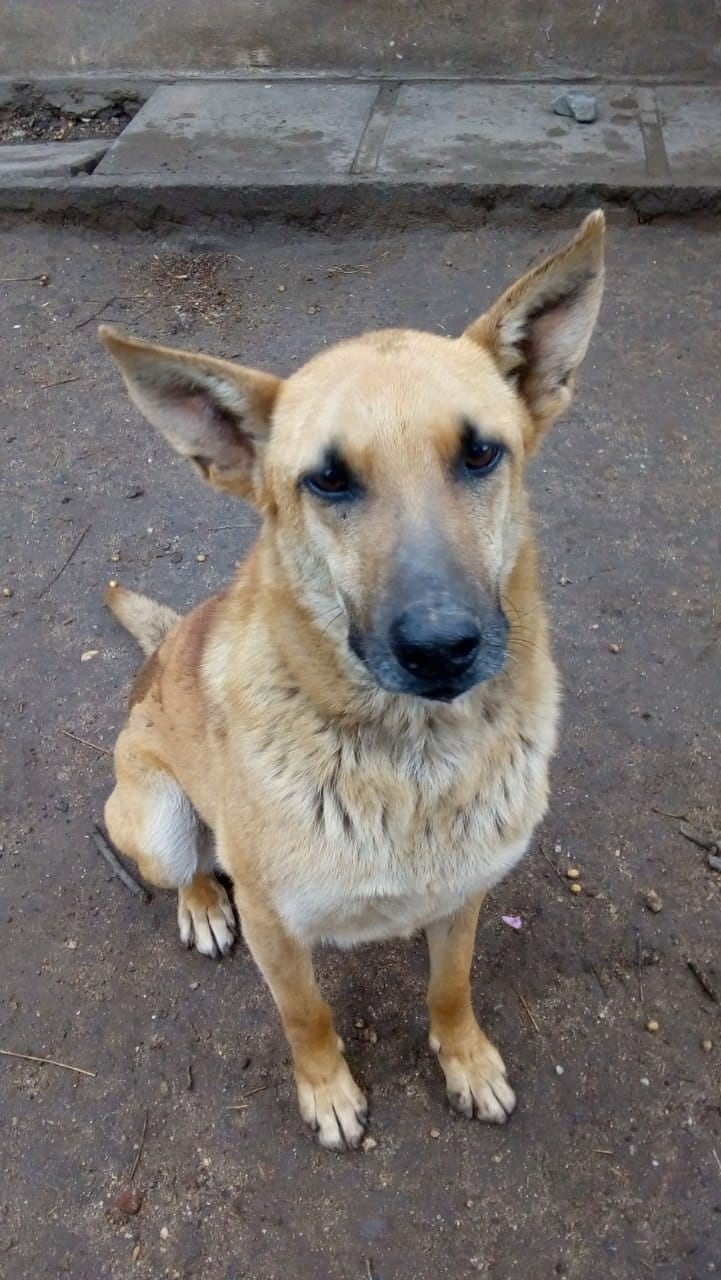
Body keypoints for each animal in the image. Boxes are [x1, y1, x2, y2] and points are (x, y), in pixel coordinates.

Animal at [96, 209, 604, 1152]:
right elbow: (308, 1017)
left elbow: (450, 987)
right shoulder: (276, 930)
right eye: (328, 479)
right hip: (156, 819)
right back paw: (200, 903)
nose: (442, 647)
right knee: (188, 865)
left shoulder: (464, 899)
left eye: (480, 454)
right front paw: (326, 1090)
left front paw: (463, 1060)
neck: (414, 761)